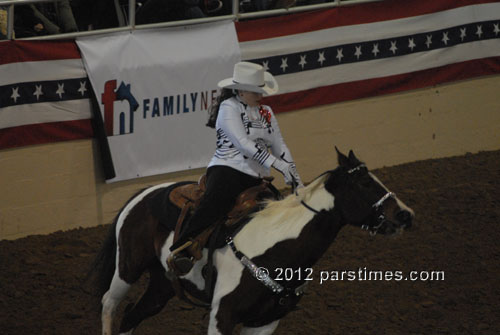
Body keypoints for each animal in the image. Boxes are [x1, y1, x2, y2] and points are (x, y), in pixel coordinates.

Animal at [90, 150, 414, 335]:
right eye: (365, 183)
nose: (405, 214)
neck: (275, 250)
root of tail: (143, 193)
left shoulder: (266, 322)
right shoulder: (222, 316)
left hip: (162, 285)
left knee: (131, 316)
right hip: (128, 268)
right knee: (109, 304)